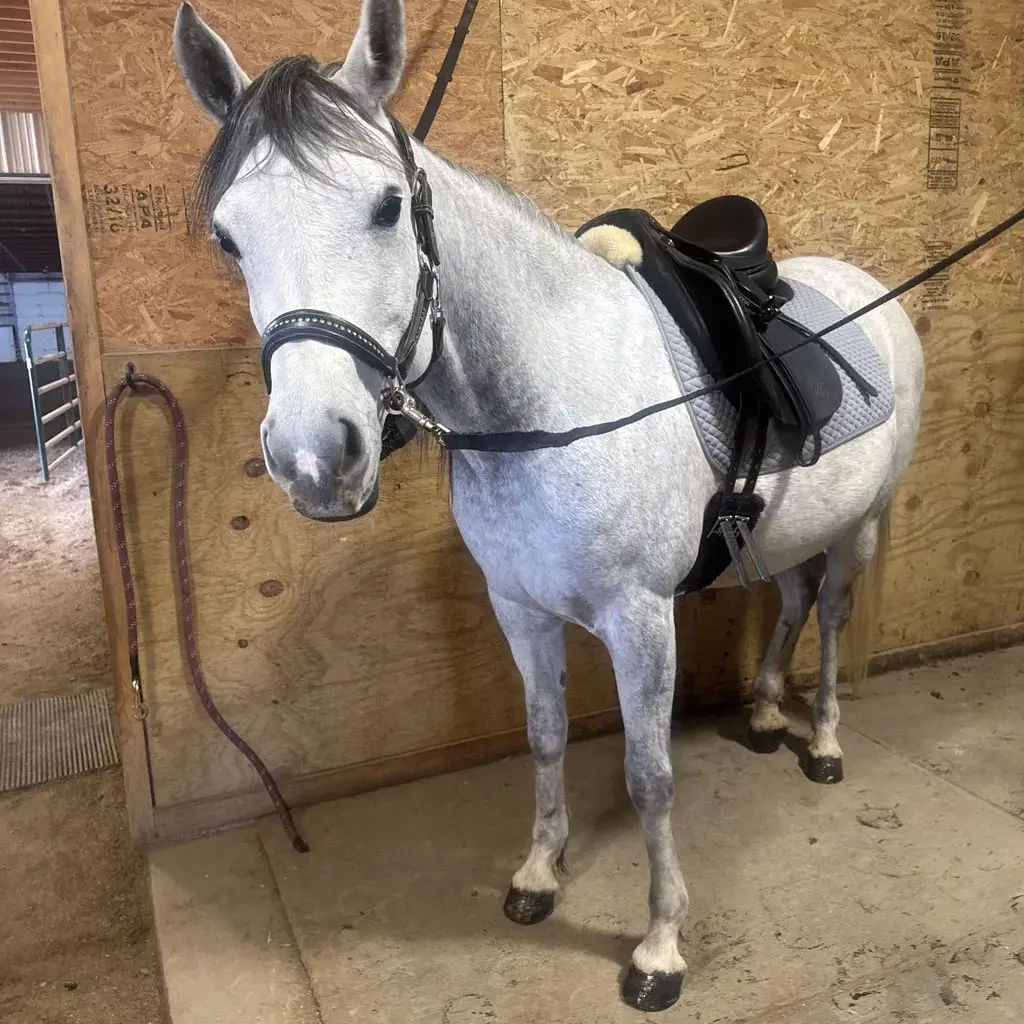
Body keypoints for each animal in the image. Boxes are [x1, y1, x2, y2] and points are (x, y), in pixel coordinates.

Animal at [173, 0, 924, 1011]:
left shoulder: (640, 620)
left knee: (836, 619)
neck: (550, 406)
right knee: (797, 603)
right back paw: (769, 714)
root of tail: (870, 290)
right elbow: (544, 735)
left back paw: (827, 744)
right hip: (791, 533)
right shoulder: (520, 609)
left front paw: (659, 948)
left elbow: (650, 777)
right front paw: (539, 874)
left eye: (388, 205)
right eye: (228, 236)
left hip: (862, 529)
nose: (314, 457)